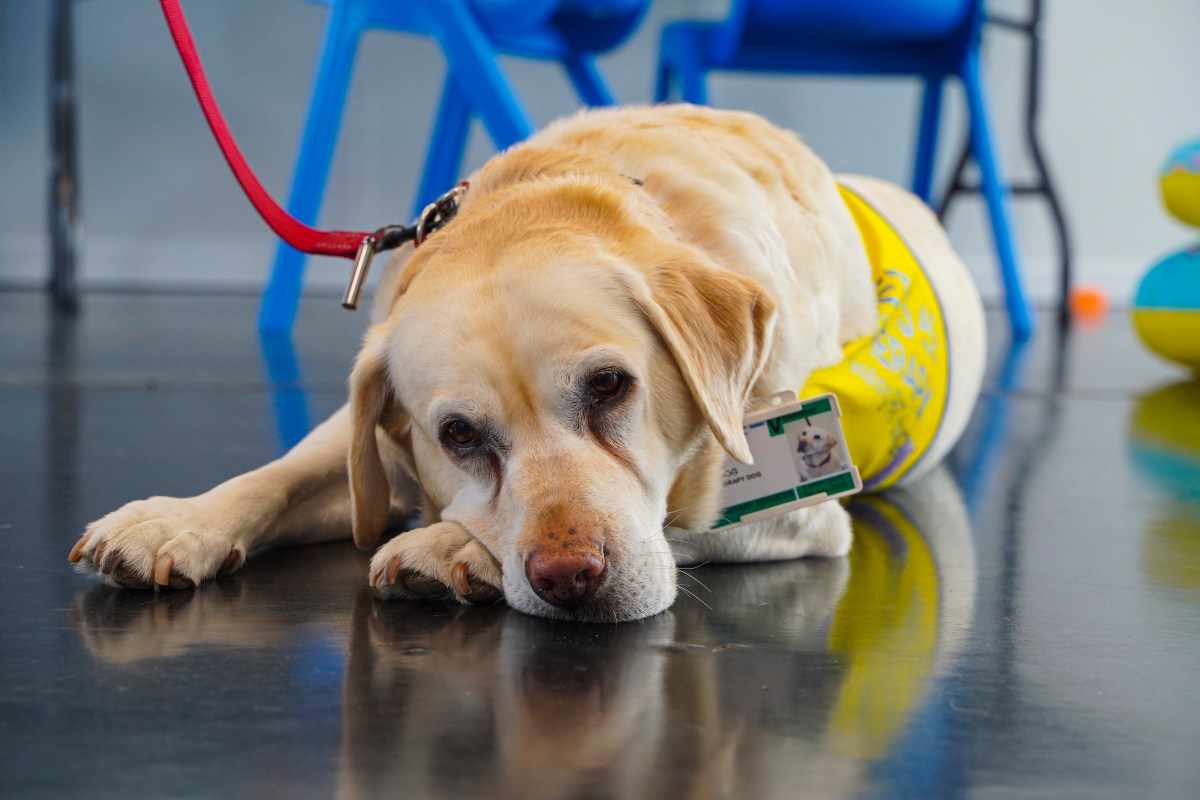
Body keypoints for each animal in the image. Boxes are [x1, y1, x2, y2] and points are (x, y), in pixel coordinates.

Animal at [68, 103, 984, 623]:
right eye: (459, 435)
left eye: (611, 385)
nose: (569, 577)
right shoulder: (374, 439)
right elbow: (281, 474)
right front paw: (174, 520)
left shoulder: (796, 507)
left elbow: (673, 519)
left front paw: (455, 547)